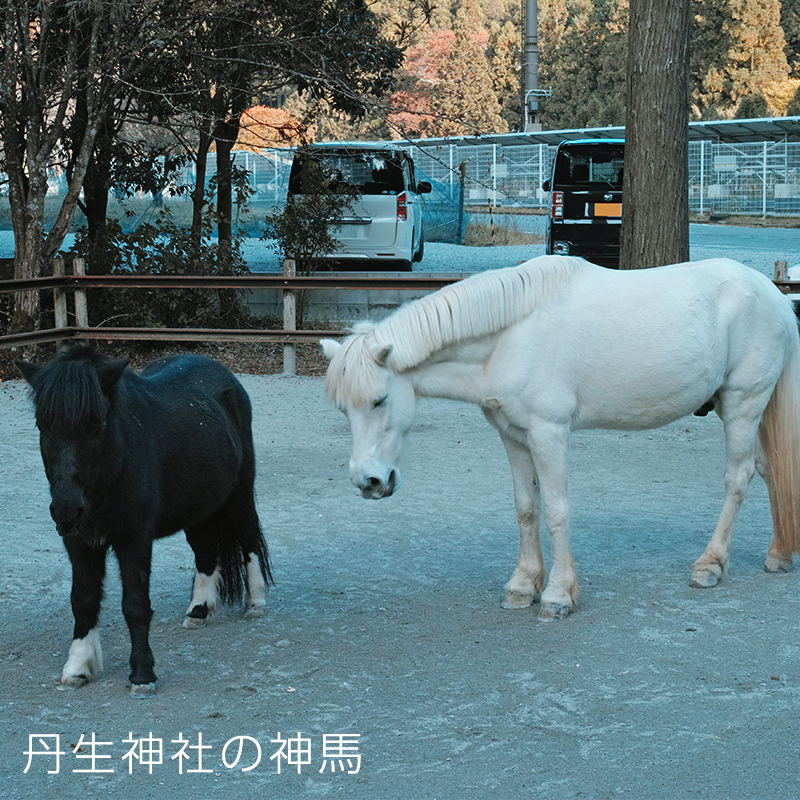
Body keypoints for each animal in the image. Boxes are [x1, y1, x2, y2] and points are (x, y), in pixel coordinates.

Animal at [18, 346, 272, 696]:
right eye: (42, 425)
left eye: (97, 426)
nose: (67, 510)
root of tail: (226, 376)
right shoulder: (79, 543)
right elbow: (83, 600)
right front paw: (78, 667)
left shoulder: (134, 540)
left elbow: (135, 604)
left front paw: (142, 674)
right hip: (199, 507)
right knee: (206, 552)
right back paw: (199, 611)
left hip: (239, 494)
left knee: (249, 539)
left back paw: (255, 603)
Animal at [322, 255, 800, 620]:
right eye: (344, 409)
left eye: (380, 400)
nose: (368, 481)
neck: (512, 335)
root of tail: (773, 295)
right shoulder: (513, 435)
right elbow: (526, 509)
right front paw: (522, 586)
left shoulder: (548, 432)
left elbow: (555, 511)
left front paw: (556, 595)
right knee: (767, 469)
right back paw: (779, 554)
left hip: (742, 405)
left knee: (738, 477)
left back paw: (711, 564)